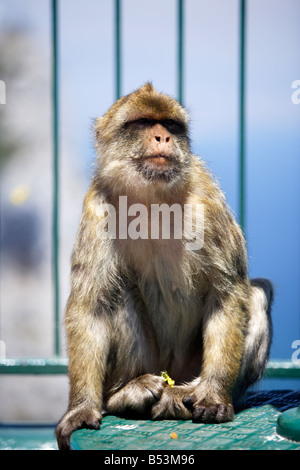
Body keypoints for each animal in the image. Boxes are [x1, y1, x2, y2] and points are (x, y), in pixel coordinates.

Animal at [55, 82, 274, 450]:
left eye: (170, 124)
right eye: (143, 122)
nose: (162, 137)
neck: (152, 199)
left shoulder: (209, 200)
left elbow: (227, 293)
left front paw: (213, 395)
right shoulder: (96, 208)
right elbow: (90, 307)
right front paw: (81, 408)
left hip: (189, 367)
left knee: (255, 295)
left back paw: (185, 394)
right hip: (154, 363)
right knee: (117, 295)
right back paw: (126, 394)